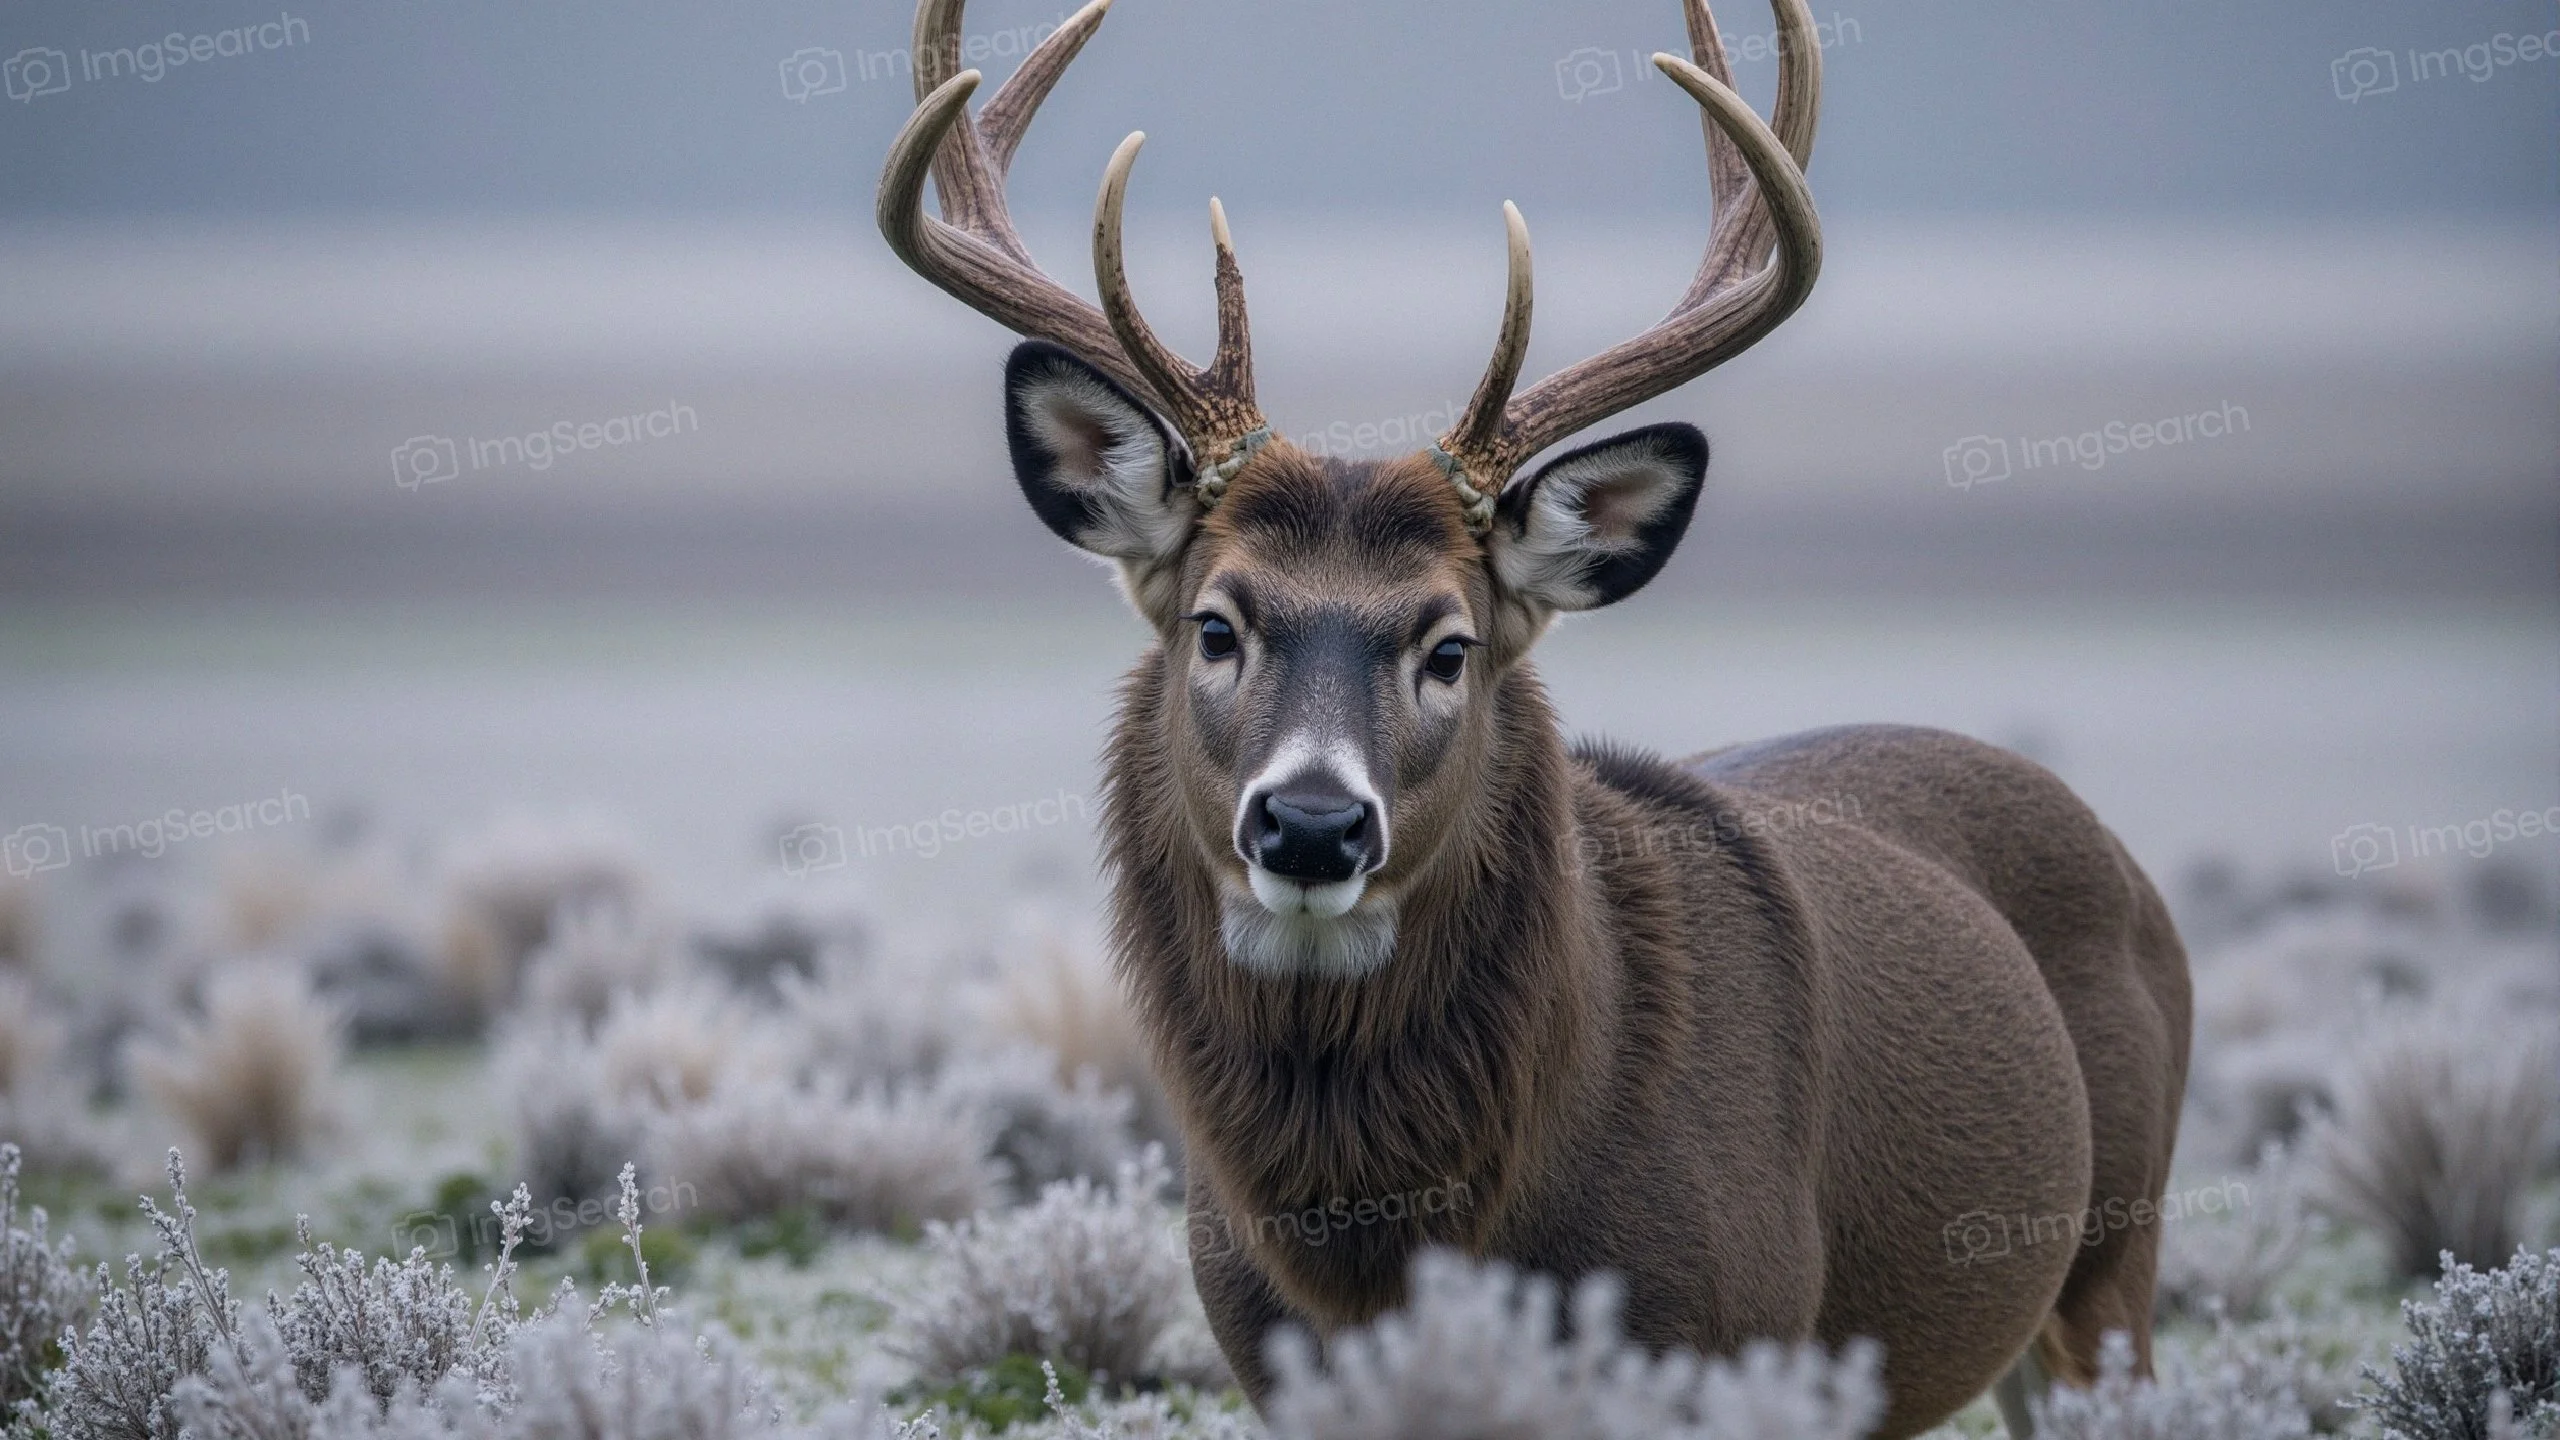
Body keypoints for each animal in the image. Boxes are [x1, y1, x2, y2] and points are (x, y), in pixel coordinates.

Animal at [876, 0, 2192, 1433]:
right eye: (1217, 626)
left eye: (1448, 645)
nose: (1312, 825)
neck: (1405, 1244)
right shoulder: (1267, 1363)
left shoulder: (1743, 1328)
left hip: (2115, 1251)